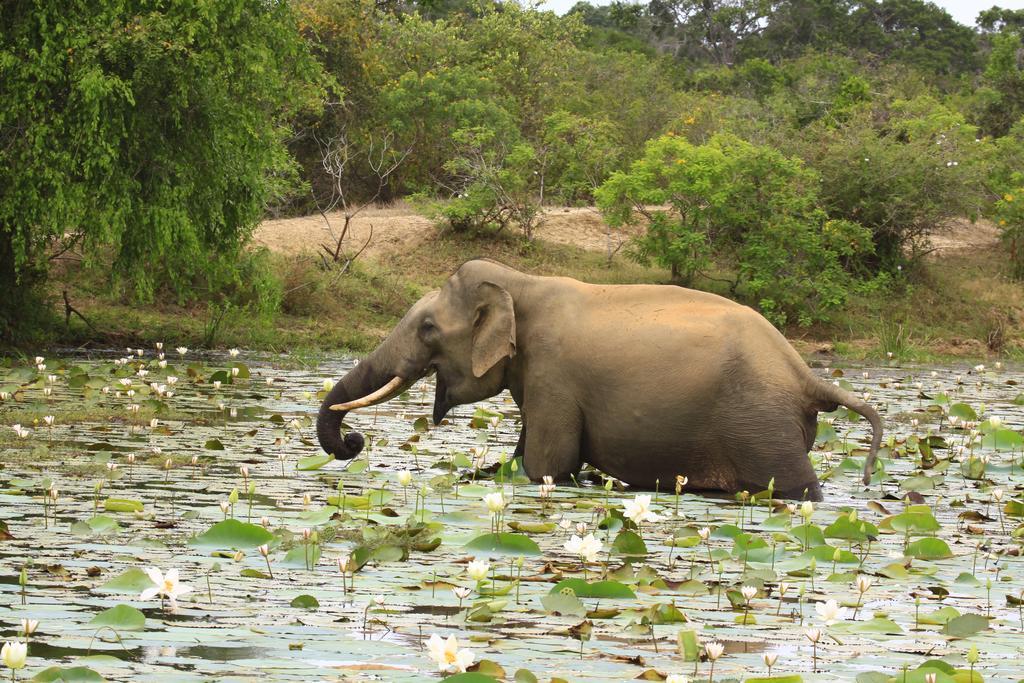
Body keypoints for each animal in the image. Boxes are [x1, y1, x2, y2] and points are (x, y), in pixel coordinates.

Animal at [317, 259, 880, 499]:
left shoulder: (554, 378)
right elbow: (521, 462)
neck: (523, 283)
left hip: (762, 427)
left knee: (797, 488)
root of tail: (805, 375)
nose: (353, 440)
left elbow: (547, 467)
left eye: (429, 328)